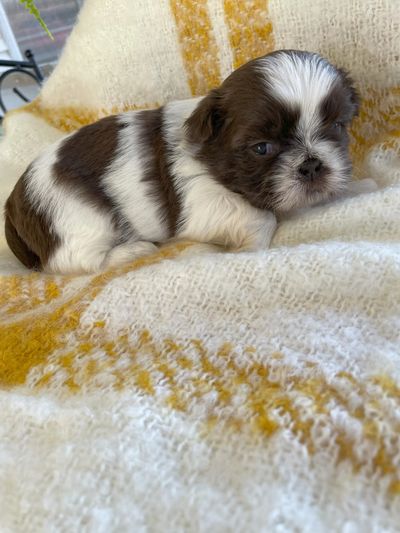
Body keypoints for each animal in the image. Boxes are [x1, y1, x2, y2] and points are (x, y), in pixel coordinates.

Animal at [5, 50, 366, 274]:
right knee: (71, 261)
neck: (211, 156)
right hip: (80, 222)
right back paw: (133, 250)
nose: (312, 165)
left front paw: (359, 185)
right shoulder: (203, 202)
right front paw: (251, 246)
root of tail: (12, 203)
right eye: (262, 148)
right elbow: (261, 218)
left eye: (337, 126)